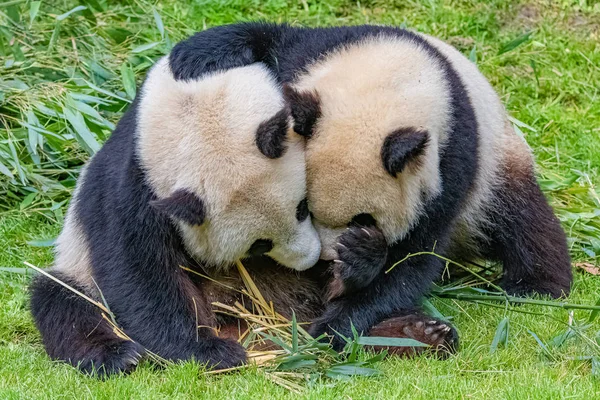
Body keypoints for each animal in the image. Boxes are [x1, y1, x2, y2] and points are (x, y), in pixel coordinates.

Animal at [27, 58, 324, 376]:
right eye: (259, 245)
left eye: (303, 207)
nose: (309, 260)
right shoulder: (133, 192)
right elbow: (141, 274)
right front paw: (211, 351)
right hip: (79, 270)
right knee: (62, 301)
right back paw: (118, 354)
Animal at [169, 23, 572, 350]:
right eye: (305, 207)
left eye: (364, 218)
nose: (326, 262)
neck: (395, 77)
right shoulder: (314, 51)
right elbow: (270, 39)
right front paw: (194, 56)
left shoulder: (452, 161)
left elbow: (411, 261)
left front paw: (338, 315)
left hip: (496, 164)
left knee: (521, 220)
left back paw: (532, 286)